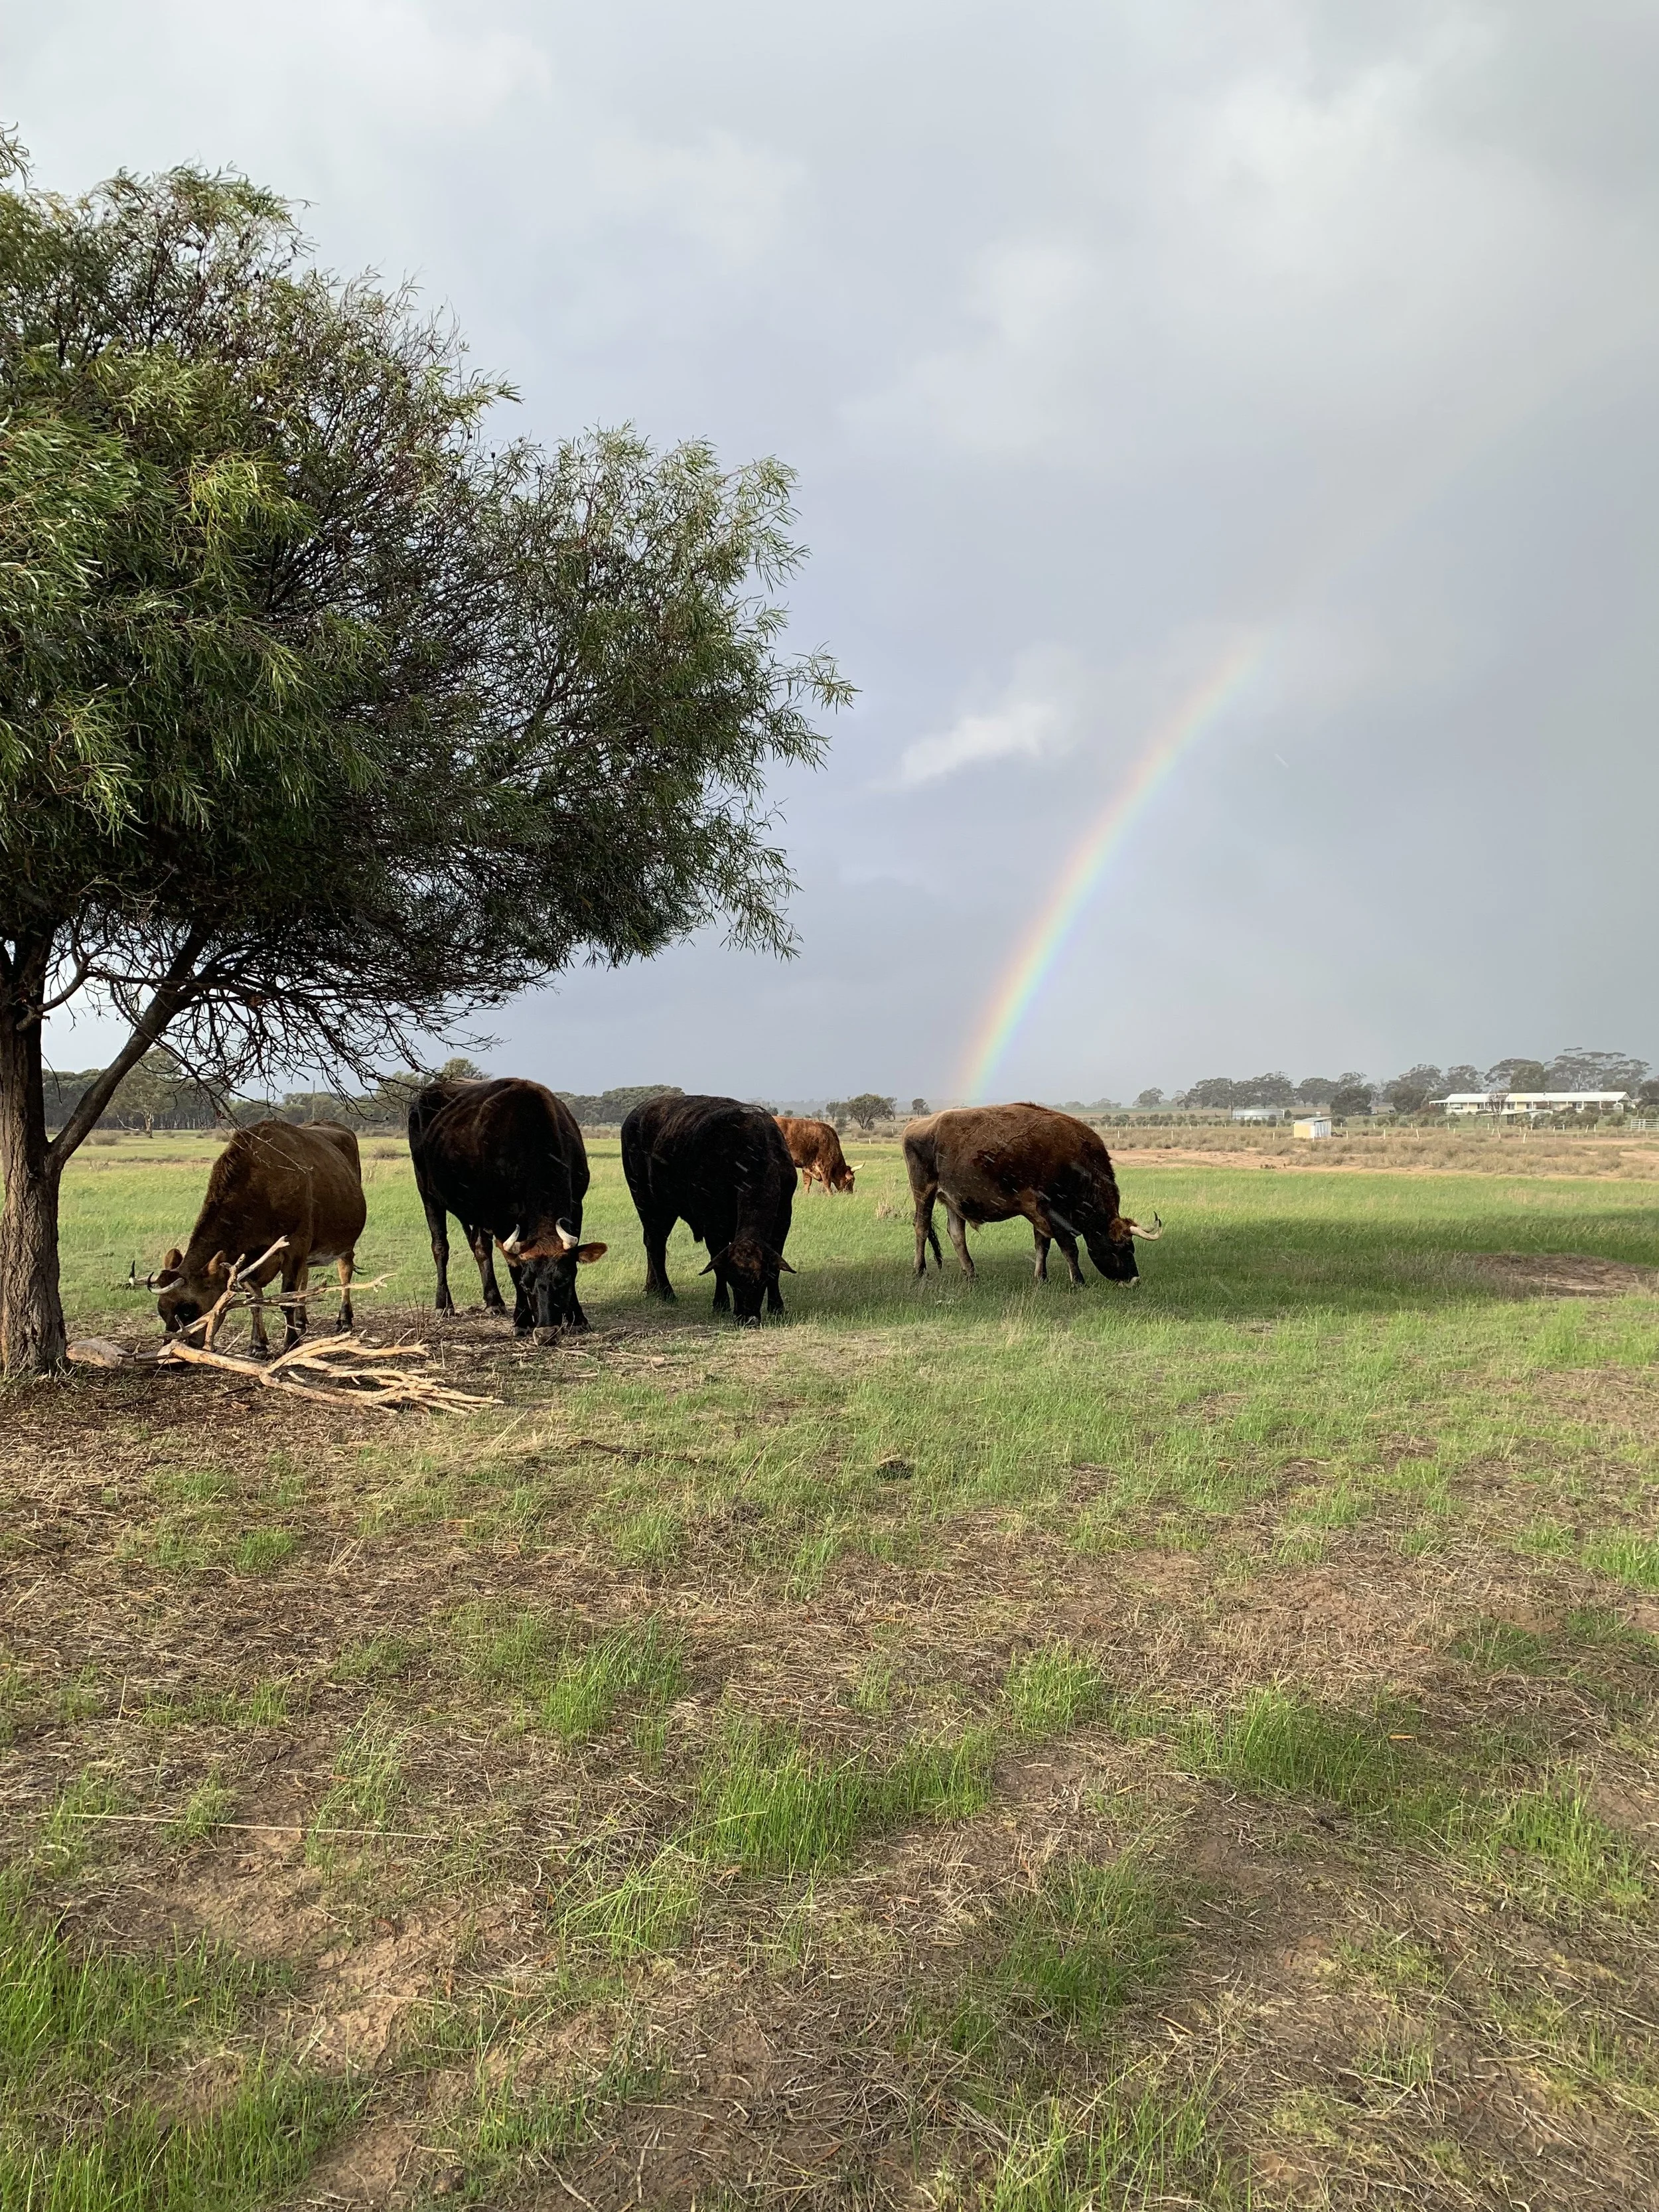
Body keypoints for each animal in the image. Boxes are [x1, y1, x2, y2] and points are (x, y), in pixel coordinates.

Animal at [152, 1121, 366, 1354]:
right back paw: (301, 1321)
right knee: (305, 1275)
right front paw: (258, 1344)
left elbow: (286, 1300)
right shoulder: (245, 1261)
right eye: (162, 1309)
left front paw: (291, 1343)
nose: (170, 1350)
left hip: (345, 1242)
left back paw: (344, 1319)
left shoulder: (295, 1246)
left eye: (188, 1309)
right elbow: (254, 1301)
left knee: (344, 1272)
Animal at [406, 1077, 605, 1339]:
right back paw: (444, 1304)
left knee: (481, 1247)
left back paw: (494, 1301)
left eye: (563, 1280)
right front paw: (522, 1320)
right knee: (440, 1247)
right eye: (526, 1284)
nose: (546, 1331)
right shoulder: (502, 1218)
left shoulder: (576, 1205)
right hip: (428, 1193)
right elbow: (513, 1267)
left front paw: (577, 1317)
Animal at [621, 1093, 796, 1323]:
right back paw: (666, 1292)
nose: (747, 1317)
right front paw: (720, 1303)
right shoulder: (713, 1223)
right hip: (647, 1200)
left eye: (761, 1280)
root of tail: (636, 1113)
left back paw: (652, 1287)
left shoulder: (783, 1218)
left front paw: (777, 1306)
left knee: (651, 1241)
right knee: (655, 1243)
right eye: (733, 1281)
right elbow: (717, 1264)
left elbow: (776, 1265)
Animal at [902, 1104, 1161, 1286]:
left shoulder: (1039, 1215)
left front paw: (1041, 1277)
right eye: (1120, 1247)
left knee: (957, 1234)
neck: (1073, 1163)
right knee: (921, 1227)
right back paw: (919, 1270)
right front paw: (1078, 1281)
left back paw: (971, 1273)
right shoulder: (1052, 1212)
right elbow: (1069, 1248)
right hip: (924, 1193)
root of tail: (916, 1126)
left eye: (1132, 1247)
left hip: (953, 1201)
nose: (1134, 1280)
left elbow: (1042, 1246)